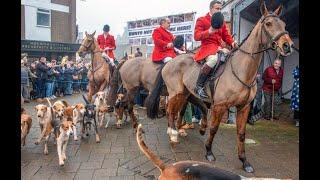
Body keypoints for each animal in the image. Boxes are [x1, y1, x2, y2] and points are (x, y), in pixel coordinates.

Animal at [146, 2, 294, 172]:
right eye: (268, 24)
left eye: (283, 24)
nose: (288, 46)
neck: (241, 69)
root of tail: (171, 61)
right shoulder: (220, 106)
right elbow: (214, 128)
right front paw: (209, 152)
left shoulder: (244, 107)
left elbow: (241, 133)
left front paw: (244, 161)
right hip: (175, 93)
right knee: (171, 110)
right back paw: (173, 133)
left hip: (185, 94)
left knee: (179, 110)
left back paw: (178, 130)